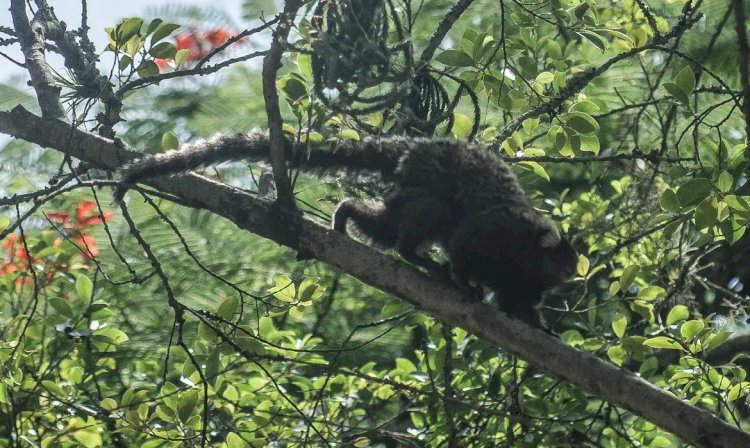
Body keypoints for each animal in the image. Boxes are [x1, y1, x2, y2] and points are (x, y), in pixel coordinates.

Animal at [114, 132, 580, 326]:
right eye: (562, 264)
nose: (570, 277)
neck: (524, 255)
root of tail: (415, 146)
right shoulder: (496, 234)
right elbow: (464, 246)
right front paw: (464, 281)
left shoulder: (523, 282)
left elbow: (518, 302)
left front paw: (538, 326)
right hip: (426, 179)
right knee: (427, 215)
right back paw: (411, 252)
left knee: (388, 224)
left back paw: (349, 214)